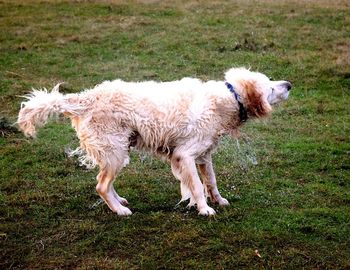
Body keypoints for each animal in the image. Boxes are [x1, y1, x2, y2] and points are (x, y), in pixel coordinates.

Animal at [17, 68, 292, 216]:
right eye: (270, 88)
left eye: (271, 81)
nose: (289, 84)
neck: (228, 99)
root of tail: (85, 98)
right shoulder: (185, 155)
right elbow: (196, 186)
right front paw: (204, 209)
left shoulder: (204, 155)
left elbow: (211, 181)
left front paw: (219, 200)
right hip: (115, 152)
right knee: (101, 185)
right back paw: (120, 211)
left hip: (117, 152)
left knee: (104, 182)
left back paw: (120, 201)